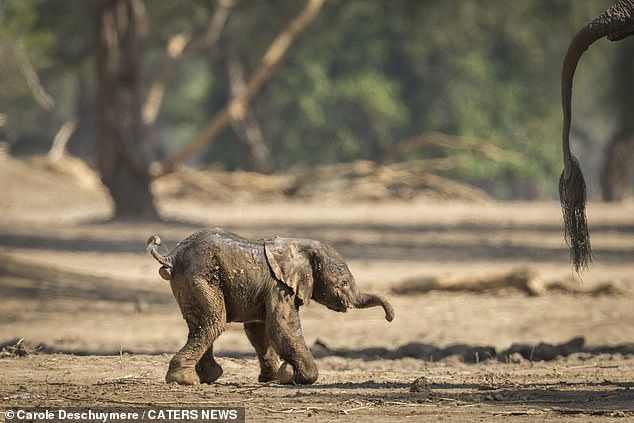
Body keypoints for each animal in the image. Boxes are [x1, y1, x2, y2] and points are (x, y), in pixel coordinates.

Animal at [146, 230, 392, 386]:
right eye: (343, 283)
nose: (390, 318)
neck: (298, 246)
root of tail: (171, 255)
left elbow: (259, 329)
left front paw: (275, 377)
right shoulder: (279, 286)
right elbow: (281, 326)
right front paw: (292, 375)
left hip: (187, 281)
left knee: (199, 324)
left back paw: (208, 376)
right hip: (199, 277)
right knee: (214, 321)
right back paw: (186, 380)